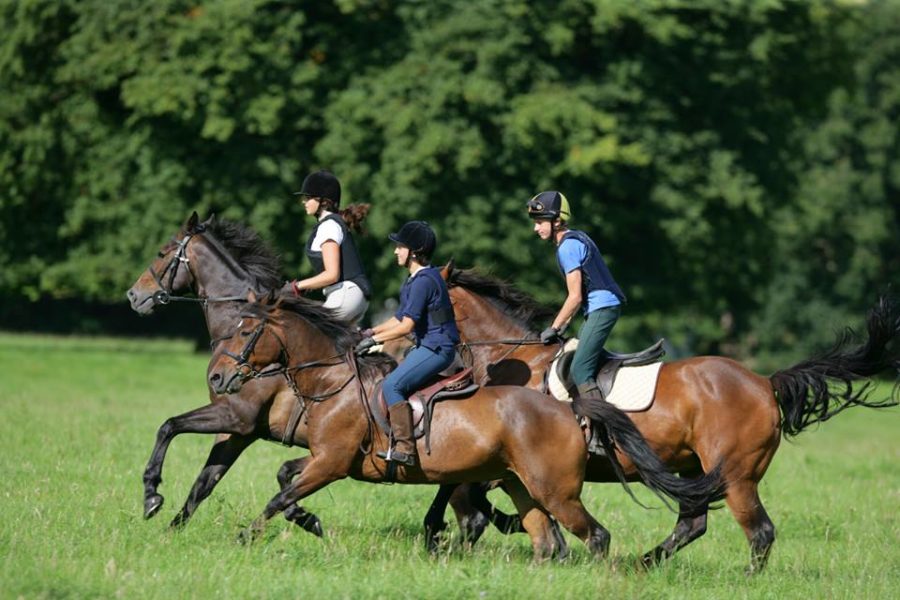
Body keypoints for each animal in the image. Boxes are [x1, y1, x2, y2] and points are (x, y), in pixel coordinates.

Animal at [202, 292, 724, 560]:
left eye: (245, 331)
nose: (216, 378)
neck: (334, 379)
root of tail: (567, 409)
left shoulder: (330, 463)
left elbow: (280, 496)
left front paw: (248, 537)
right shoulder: (326, 460)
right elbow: (284, 480)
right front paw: (308, 522)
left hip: (555, 490)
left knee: (593, 536)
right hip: (526, 485)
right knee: (556, 538)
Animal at [432, 264, 896, 572]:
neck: (518, 362)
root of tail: (766, 383)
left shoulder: (508, 461)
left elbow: (473, 498)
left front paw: (474, 531)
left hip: (737, 476)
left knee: (759, 531)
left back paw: (744, 578)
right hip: (694, 470)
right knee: (693, 524)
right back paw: (644, 563)